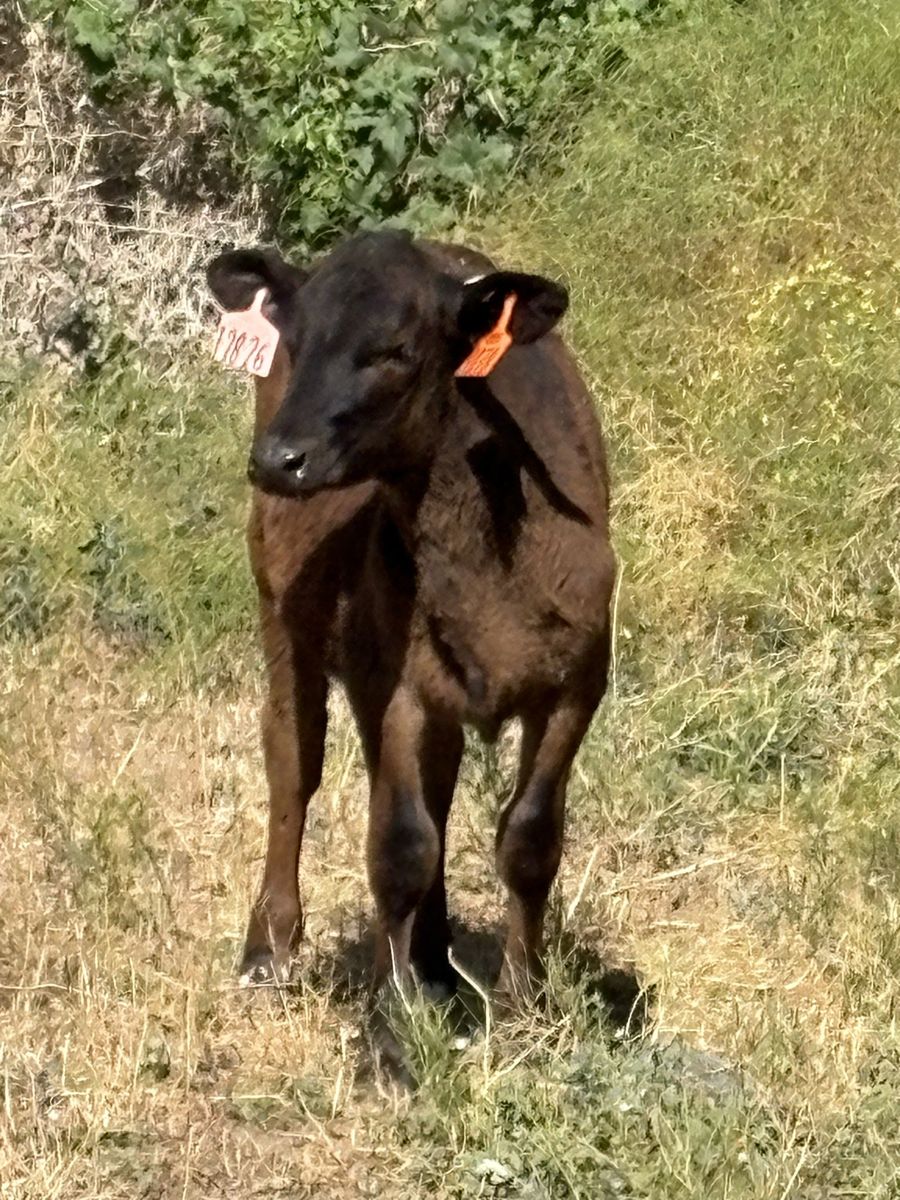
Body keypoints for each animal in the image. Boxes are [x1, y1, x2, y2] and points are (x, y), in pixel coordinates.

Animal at [206, 229, 615, 1011]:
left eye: (395, 349)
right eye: (293, 341)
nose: (280, 459)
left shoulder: (578, 683)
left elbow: (529, 838)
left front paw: (521, 1000)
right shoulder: (393, 680)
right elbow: (399, 843)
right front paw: (394, 1017)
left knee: (438, 787)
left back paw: (433, 954)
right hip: (283, 607)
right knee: (294, 759)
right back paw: (272, 944)